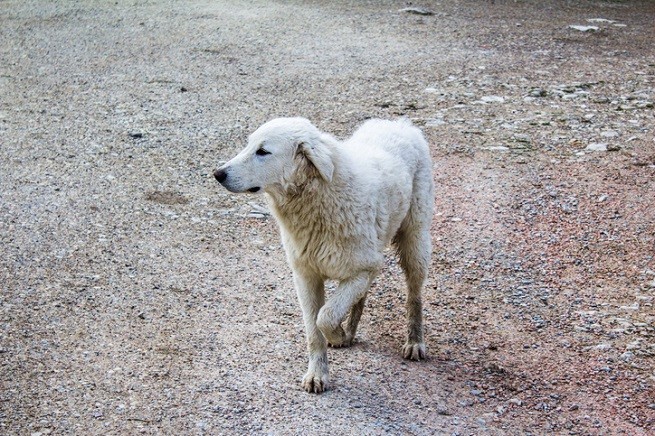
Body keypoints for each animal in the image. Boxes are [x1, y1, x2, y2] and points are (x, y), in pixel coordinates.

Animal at [215, 117, 436, 394]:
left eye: (263, 151)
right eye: (248, 145)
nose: (218, 173)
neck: (318, 197)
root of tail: (400, 123)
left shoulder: (363, 269)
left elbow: (326, 317)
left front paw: (336, 335)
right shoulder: (306, 276)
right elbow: (313, 330)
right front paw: (317, 374)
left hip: (414, 242)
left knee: (414, 295)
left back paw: (414, 342)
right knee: (362, 297)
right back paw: (350, 332)